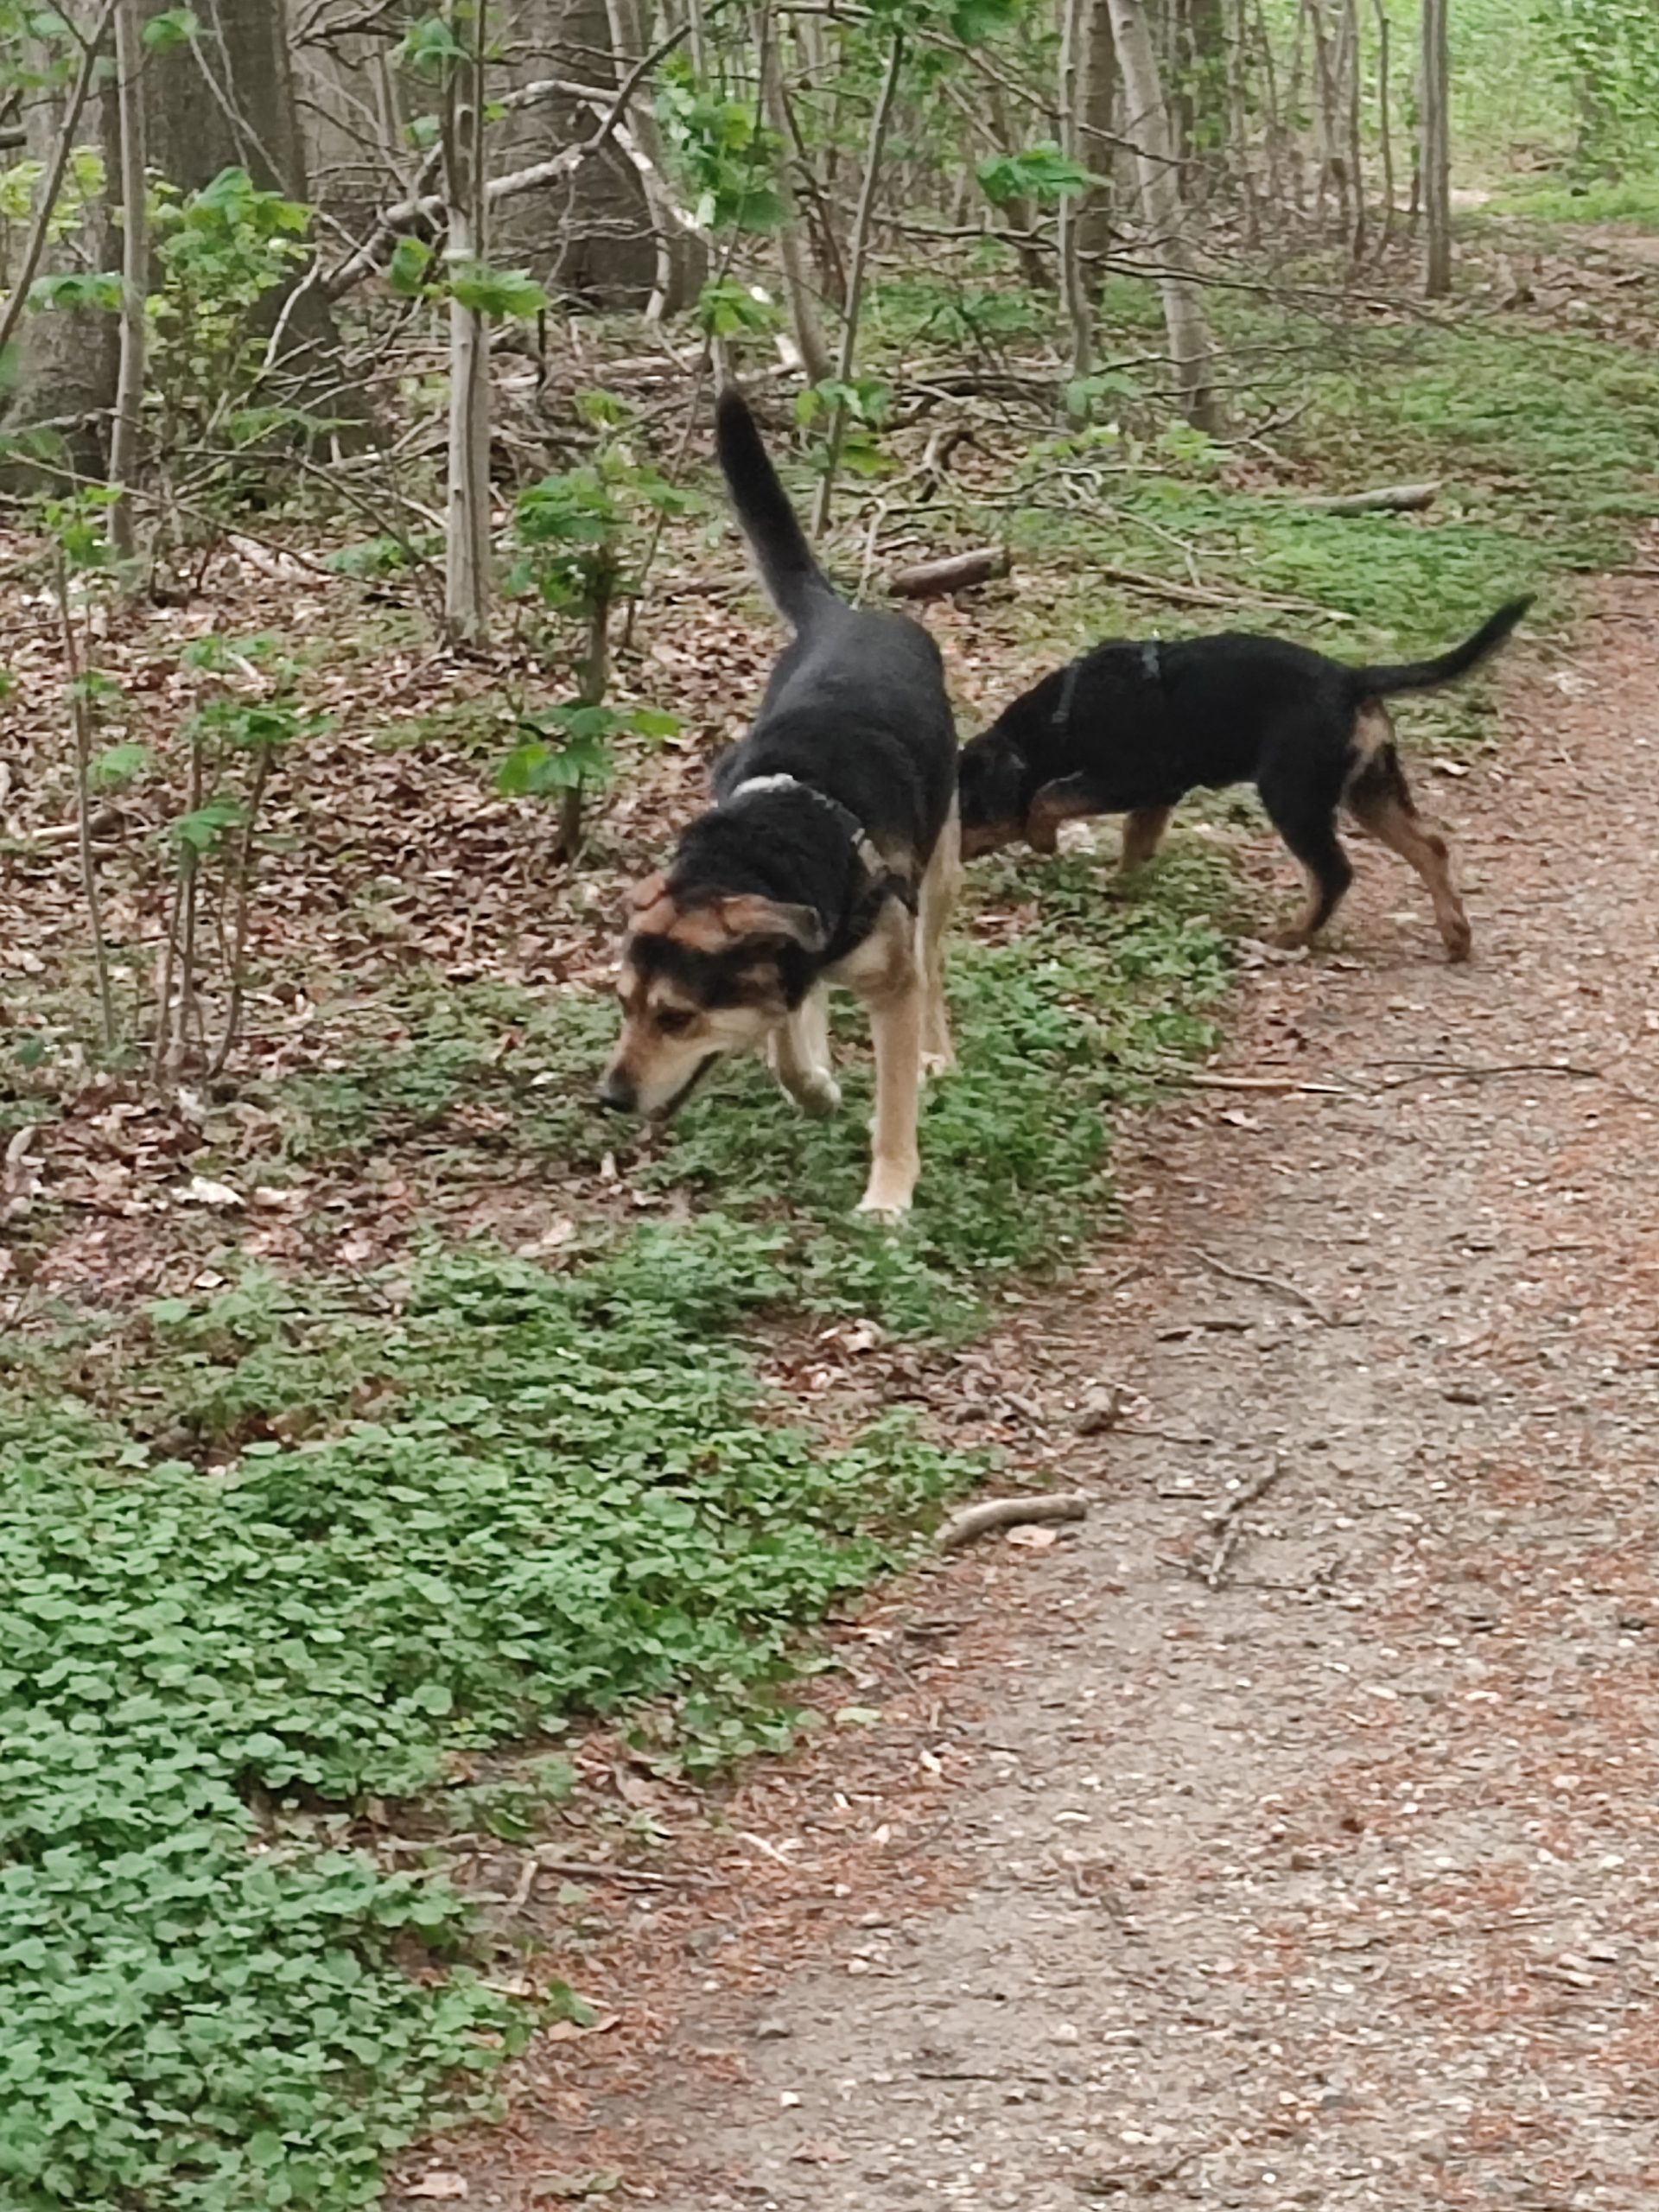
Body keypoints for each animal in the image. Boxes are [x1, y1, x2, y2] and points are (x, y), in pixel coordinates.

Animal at [598, 389, 960, 1217]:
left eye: (675, 1017)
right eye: (624, 1004)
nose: (610, 1098)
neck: (765, 845)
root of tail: (846, 614)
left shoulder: (891, 986)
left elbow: (894, 1104)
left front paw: (888, 1197)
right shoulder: (792, 952)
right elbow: (785, 1041)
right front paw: (815, 1088)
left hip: (940, 871)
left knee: (933, 964)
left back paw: (937, 1049)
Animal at [957, 597, 1533, 962]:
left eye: (966, 807)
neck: (1063, 716)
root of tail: (1352, 679)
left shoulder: (1130, 779)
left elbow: (1048, 796)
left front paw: (1043, 840)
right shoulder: (1159, 794)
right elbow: (1136, 842)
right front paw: (1121, 886)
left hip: (1292, 792)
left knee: (1335, 871)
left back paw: (1291, 934)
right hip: (1371, 788)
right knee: (1429, 846)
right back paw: (1455, 936)